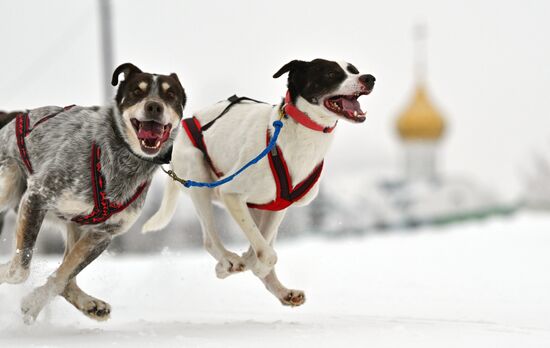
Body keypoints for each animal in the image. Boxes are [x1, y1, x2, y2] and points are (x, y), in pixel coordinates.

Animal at [0, 62, 187, 324]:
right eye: (136, 91)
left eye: (170, 95)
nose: (154, 106)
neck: (121, 162)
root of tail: (10, 115)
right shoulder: (38, 196)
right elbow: (19, 269)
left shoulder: (102, 234)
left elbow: (61, 277)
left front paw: (34, 303)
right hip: (8, 186)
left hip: (75, 225)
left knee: (67, 277)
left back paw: (90, 304)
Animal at [143, 58, 376, 306]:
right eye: (331, 73)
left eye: (354, 70)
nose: (369, 78)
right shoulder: (231, 194)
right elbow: (268, 255)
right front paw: (239, 265)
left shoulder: (278, 206)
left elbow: (261, 249)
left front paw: (250, 264)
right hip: (198, 174)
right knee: (210, 240)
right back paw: (229, 261)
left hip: (256, 207)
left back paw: (281, 291)